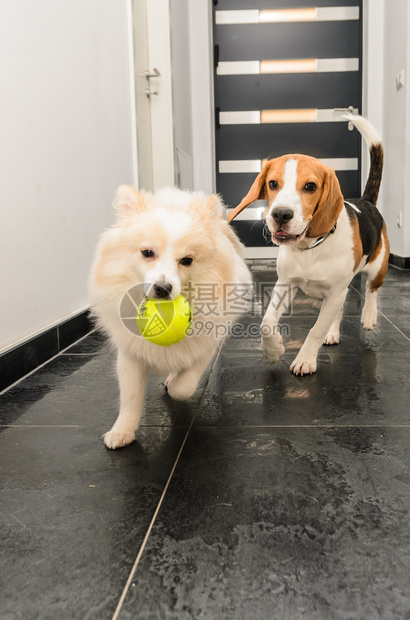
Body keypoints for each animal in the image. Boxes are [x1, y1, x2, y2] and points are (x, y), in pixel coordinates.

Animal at [229, 117, 390, 378]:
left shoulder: (334, 292)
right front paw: (273, 350)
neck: (310, 247)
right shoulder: (286, 284)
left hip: (378, 266)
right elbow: (266, 323)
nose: (280, 214)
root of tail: (366, 201)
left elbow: (315, 330)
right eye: (272, 183)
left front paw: (304, 359)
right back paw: (333, 333)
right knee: (340, 309)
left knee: (371, 289)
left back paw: (368, 315)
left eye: (310, 187)